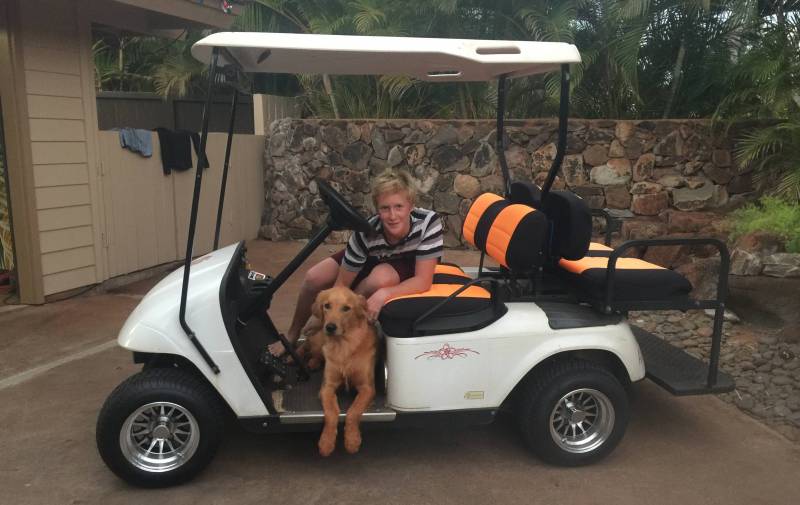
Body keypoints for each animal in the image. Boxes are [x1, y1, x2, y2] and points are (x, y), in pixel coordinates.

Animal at [310, 286, 376, 454]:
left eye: (346, 308)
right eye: (327, 306)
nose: (330, 327)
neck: (344, 347)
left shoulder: (367, 387)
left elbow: (353, 410)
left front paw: (352, 440)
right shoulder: (327, 387)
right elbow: (331, 412)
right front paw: (326, 442)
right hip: (318, 341)